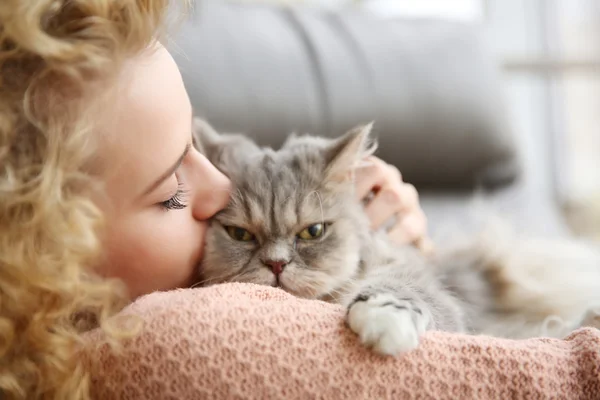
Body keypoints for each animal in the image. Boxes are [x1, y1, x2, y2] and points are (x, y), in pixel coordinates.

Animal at [193, 119, 600, 356]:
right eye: (240, 234)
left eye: (313, 232)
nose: (276, 265)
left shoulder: (420, 284)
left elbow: (397, 293)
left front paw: (385, 321)